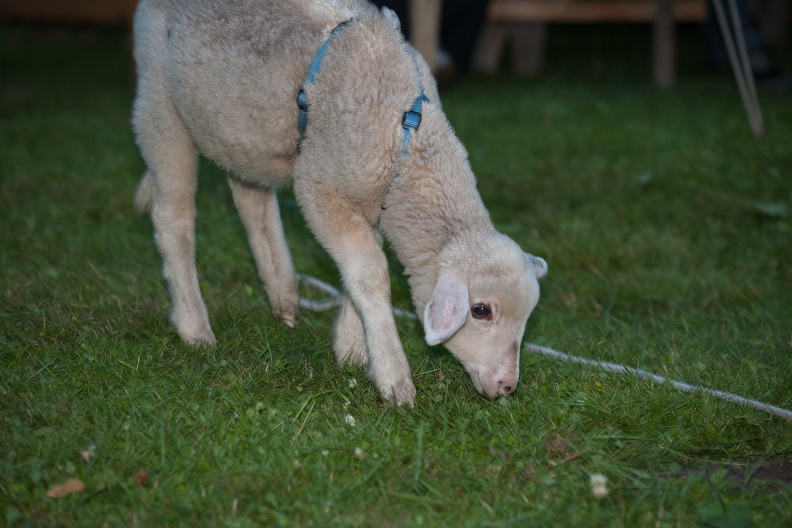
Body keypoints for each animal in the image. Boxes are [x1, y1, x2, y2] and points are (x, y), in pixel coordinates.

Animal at [133, 0, 548, 406]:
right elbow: (371, 271)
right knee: (173, 218)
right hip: (160, 108)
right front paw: (392, 375)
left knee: (252, 202)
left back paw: (283, 292)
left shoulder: (372, 203)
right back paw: (193, 325)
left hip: (242, 135)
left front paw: (351, 346)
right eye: (481, 311)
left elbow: (359, 269)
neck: (406, 141)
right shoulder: (321, 189)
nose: (507, 386)